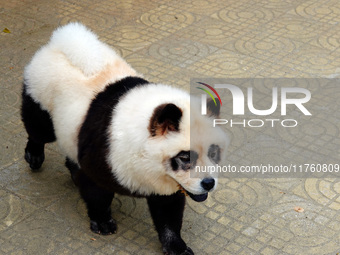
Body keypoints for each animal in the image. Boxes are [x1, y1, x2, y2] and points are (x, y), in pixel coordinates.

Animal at [20, 22, 228, 254]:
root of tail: (58, 42)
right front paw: (102, 221)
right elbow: (96, 190)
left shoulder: (167, 180)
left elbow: (168, 209)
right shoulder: (106, 151)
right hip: (41, 95)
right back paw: (34, 155)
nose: (208, 183)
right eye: (184, 157)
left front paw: (176, 245)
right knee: (38, 128)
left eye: (213, 153)